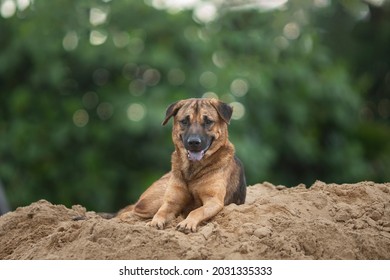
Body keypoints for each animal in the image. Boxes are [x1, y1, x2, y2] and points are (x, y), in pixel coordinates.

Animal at [119, 97, 247, 233]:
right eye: (184, 121)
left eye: (208, 121)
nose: (194, 142)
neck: (192, 171)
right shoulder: (171, 202)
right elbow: (161, 212)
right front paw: (155, 222)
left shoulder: (214, 201)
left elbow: (197, 211)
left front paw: (187, 223)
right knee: (128, 213)